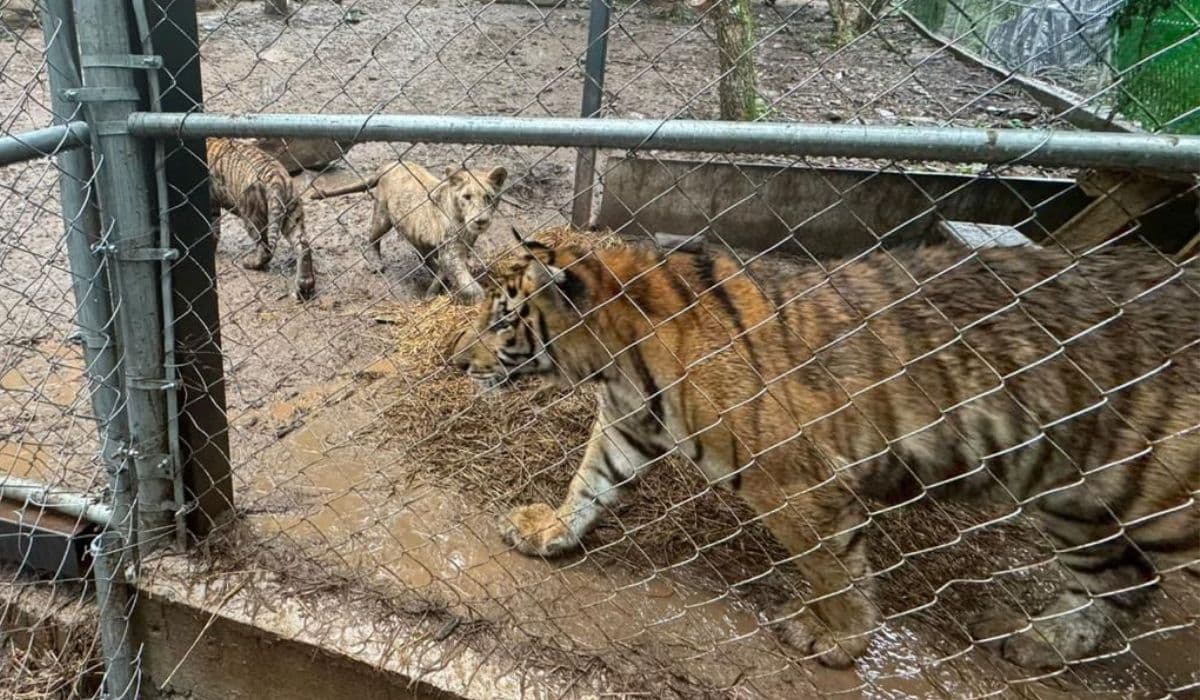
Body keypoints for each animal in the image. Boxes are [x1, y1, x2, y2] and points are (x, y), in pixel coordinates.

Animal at [207, 137, 315, 300]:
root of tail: (277, 177)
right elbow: (214, 229)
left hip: (252, 217)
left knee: (265, 249)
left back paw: (249, 263)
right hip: (292, 215)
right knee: (303, 245)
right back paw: (304, 285)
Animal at [308, 161, 507, 303]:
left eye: (489, 197)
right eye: (467, 197)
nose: (481, 221)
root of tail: (390, 164)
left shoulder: (461, 246)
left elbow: (443, 274)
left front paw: (432, 292)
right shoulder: (451, 251)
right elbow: (466, 282)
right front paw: (481, 300)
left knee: (423, 255)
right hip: (382, 216)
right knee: (372, 238)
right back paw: (376, 263)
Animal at [446, 231, 1200, 670]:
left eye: (501, 320)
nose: (454, 361)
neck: (616, 358)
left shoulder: (795, 483)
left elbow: (830, 566)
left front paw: (838, 641)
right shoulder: (629, 425)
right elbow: (590, 481)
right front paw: (549, 530)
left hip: (1149, 499)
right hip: (1077, 497)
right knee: (1121, 581)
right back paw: (1039, 642)